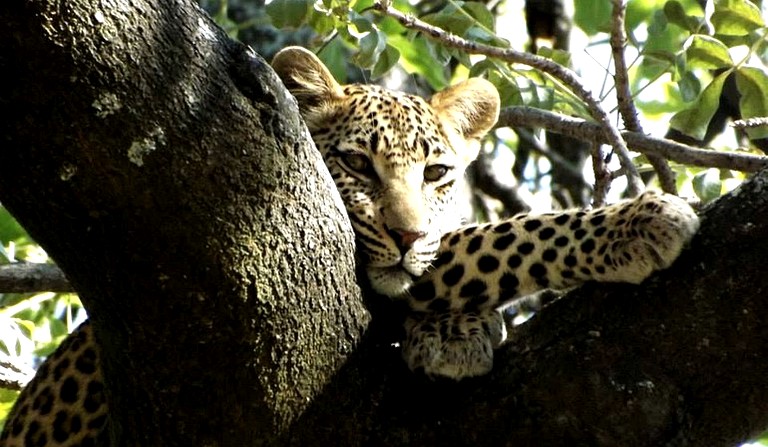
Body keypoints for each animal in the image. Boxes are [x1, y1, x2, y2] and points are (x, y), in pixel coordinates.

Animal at [0, 45, 696, 444]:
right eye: (359, 164)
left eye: (436, 174)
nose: (408, 233)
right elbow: (501, 238)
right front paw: (639, 221)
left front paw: (456, 333)